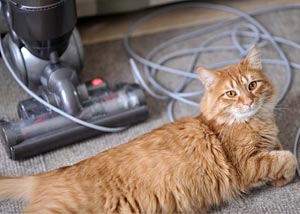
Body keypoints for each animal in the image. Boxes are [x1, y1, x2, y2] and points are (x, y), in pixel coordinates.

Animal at [0, 44, 296, 212]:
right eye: (231, 94)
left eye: (252, 85)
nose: (248, 101)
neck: (256, 122)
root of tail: (48, 175)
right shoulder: (246, 164)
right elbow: (288, 158)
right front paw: (285, 176)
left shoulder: (269, 145)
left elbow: (281, 148)